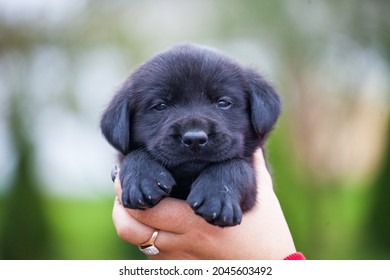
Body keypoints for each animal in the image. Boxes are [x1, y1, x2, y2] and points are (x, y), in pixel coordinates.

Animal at [99, 44, 278, 228]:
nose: (194, 139)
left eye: (223, 103)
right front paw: (142, 179)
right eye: (160, 106)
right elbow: (133, 155)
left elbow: (237, 166)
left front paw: (216, 197)